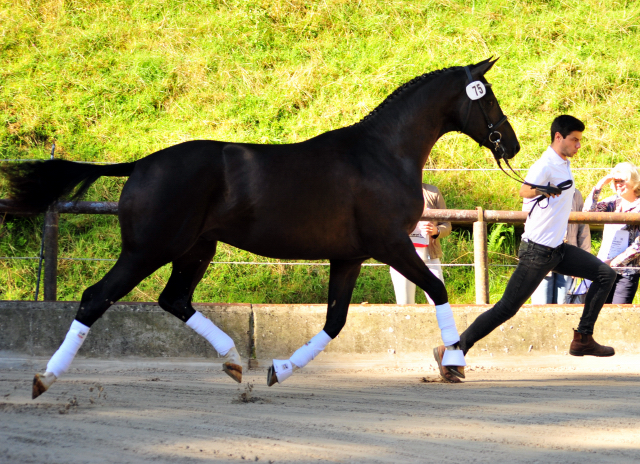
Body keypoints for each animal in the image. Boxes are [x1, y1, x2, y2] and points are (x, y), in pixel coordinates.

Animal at [1, 58, 520, 396]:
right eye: (488, 96)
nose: (511, 144)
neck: (382, 154)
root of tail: (142, 164)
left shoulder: (349, 256)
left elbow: (334, 321)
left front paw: (278, 368)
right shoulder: (392, 244)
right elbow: (437, 289)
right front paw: (453, 361)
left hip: (196, 250)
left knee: (175, 300)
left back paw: (234, 362)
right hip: (147, 250)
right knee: (96, 298)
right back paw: (45, 378)